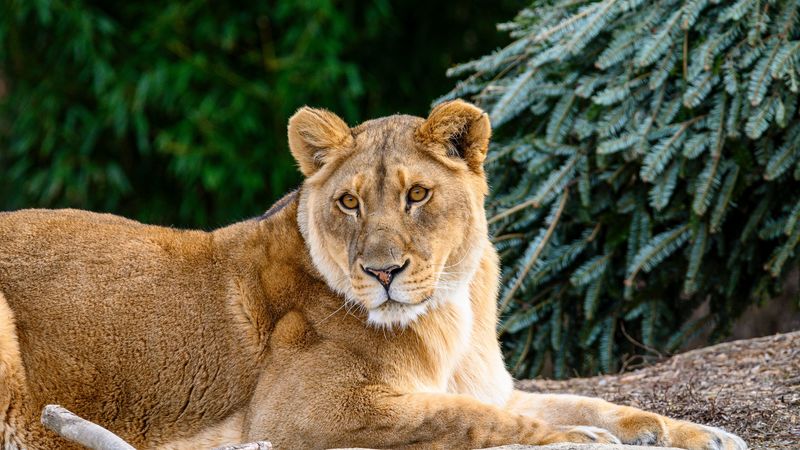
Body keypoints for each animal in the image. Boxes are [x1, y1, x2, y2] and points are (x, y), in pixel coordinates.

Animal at [0, 100, 746, 449]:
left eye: (417, 195)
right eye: (349, 202)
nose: (383, 272)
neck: (453, 309)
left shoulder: (494, 385)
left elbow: (594, 403)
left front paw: (697, 434)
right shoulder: (306, 412)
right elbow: (461, 419)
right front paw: (577, 442)